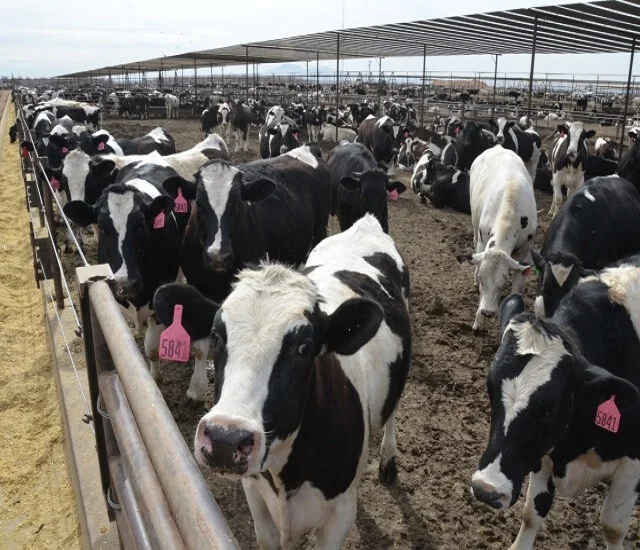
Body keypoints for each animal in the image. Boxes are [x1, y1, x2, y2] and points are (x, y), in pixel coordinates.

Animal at [152, 213, 411, 548]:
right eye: (216, 336)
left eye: (304, 348)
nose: (225, 438)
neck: (285, 474)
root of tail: (365, 224)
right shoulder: (256, 497)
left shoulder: (341, 514)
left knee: (392, 410)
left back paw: (388, 461)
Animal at [159, 146, 330, 402]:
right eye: (200, 202)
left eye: (237, 204)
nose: (217, 255)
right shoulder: (196, 286)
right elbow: (201, 343)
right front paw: (196, 388)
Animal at [458, 146, 536, 330]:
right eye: (482, 280)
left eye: (503, 282)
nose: (487, 312)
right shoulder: (482, 243)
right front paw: (478, 321)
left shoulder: (523, 251)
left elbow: (518, 284)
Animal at [472, 267, 640, 550]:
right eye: (490, 388)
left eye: (548, 410)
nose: (486, 489)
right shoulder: (543, 454)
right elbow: (532, 512)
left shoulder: (633, 464)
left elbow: (613, 526)